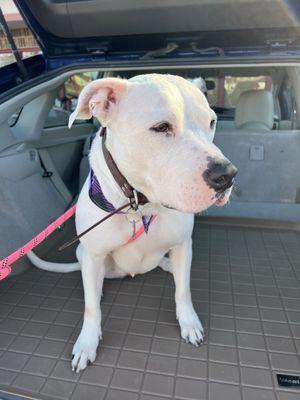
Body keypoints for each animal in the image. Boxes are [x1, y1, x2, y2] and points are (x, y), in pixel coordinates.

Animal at [29, 74, 238, 372]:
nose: (227, 176)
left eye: (211, 122)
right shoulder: (93, 254)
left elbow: (183, 290)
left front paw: (188, 322)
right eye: (161, 127)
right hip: (85, 255)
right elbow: (91, 308)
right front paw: (87, 343)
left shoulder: (183, 244)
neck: (139, 204)